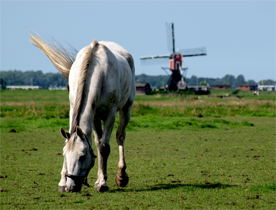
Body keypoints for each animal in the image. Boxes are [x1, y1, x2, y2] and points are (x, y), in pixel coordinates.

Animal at [28, 33, 135, 193]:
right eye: (65, 155)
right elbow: (83, 143)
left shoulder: (110, 114)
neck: (97, 70)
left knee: (120, 136)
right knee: (97, 141)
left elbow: (104, 148)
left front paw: (103, 183)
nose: (71, 187)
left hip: (126, 109)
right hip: (95, 116)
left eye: (82, 156)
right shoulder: (74, 108)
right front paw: (62, 182)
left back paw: (121, 176)